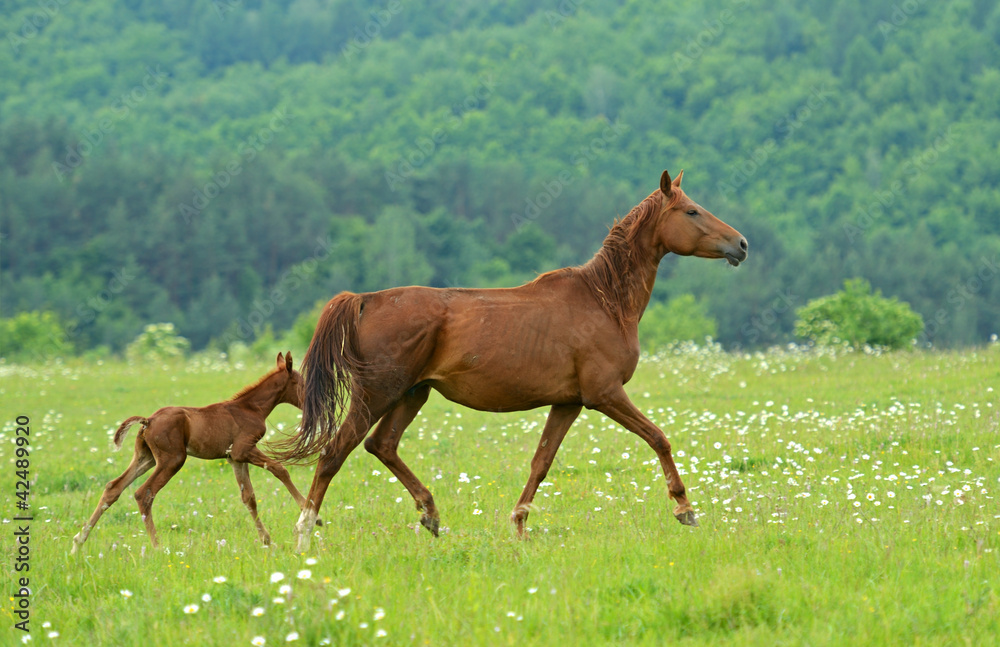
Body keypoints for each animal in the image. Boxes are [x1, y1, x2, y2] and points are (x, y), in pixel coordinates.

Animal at [71, 352, 311, 553]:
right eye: (301, 383)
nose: (311, 400)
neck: (251, 408)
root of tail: (148, 421)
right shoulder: (244, 450)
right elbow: (280, 469)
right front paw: (309, 514)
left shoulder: (234, 458)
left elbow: (249, 497)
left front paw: (267, 541)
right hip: (173, 459)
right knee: (144, 493)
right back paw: (157, 547)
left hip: (146, 458)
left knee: (113, 487)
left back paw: (78, 542)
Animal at [281, 170, 748, 552]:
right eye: (691, 211)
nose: (741, 244)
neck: (605, 301)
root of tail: (366, 300)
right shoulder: (605, 395)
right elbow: (658, 438)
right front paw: (684, 508)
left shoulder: (568, 403)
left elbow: (541, 462)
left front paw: (519, 526)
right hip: (378, 394)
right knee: (334, 454)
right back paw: (304, 534)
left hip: (412, 394)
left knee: (382, 446)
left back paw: (430, 514)